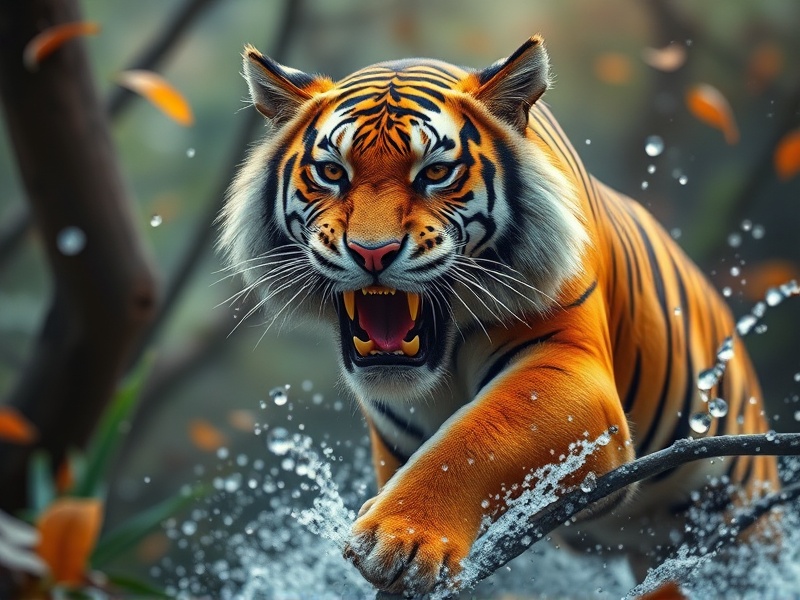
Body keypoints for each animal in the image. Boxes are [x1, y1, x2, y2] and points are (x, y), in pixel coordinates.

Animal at [218, 35, 779, 595]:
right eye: (332, 172)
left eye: (435, 173)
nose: (371, 253)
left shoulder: (570, 366)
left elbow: (476, 437)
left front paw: (398, 538)